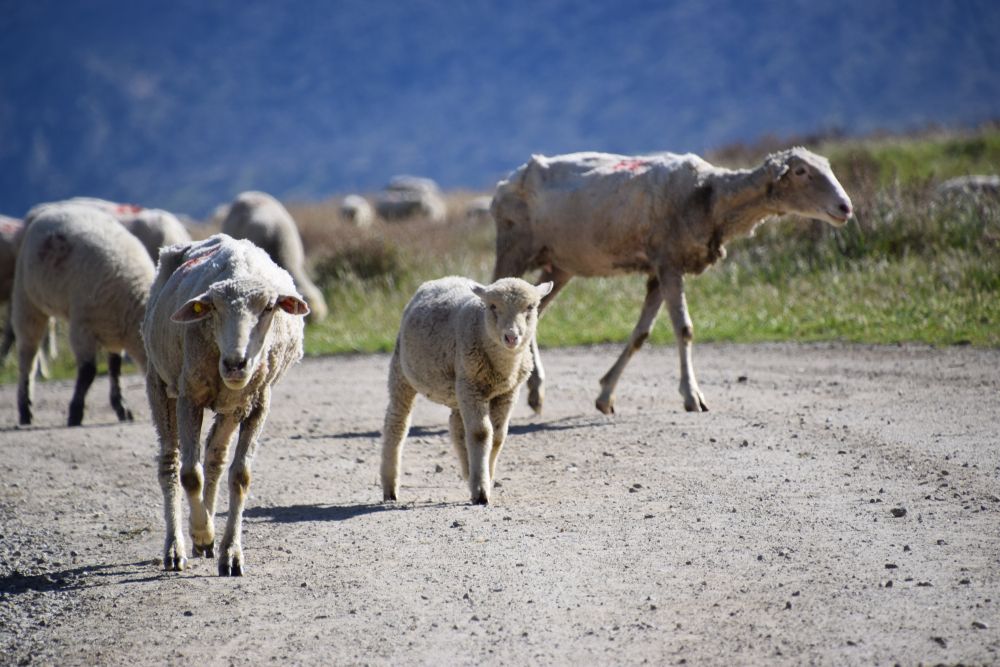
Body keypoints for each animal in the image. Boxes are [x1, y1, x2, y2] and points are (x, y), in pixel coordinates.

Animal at [12, 203, 155, 426]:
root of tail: (56, 208)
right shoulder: (82, 327)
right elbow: (88, 371)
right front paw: (75, 413)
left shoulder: (113, 330)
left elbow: (115, 368)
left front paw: (122, 407)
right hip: (27, 297)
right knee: (28, 356)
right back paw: (25, 410)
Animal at [142, 233, 309, 575]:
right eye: (213, 309)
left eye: (270, 307)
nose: (236, 363)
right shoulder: (189, 395)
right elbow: (189, 475)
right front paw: (203, 533)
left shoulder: (256, 403)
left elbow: (240, 477)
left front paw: (230, 552)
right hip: (160, 382)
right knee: (171, 464)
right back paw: (177, 547)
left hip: (233, 405)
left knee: (215, 459)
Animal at [381, 276, 553, 505]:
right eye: (493, 306)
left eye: (531, 307)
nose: (511, 337)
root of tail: (439, 280)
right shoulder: (471, 387)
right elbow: (481, 433)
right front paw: (481, 490)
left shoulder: (507, 392)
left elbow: (498, 435)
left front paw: (486, 475)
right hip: (403, 372)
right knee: (397, 422)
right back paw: (390, 488)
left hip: (457, 389)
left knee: (456, 427)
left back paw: (468, 471)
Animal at [491, 147, 853, 415]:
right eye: (801, 171)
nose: (845, 207)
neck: (709, 198)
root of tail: (507, 180)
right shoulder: (668, 262)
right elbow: (684, 329)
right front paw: (693, 396)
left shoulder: (659, 270)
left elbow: (641, 334)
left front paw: (605, 396)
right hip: (514, 246)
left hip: (561, 264)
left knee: (535, 312)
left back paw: (536, 392)